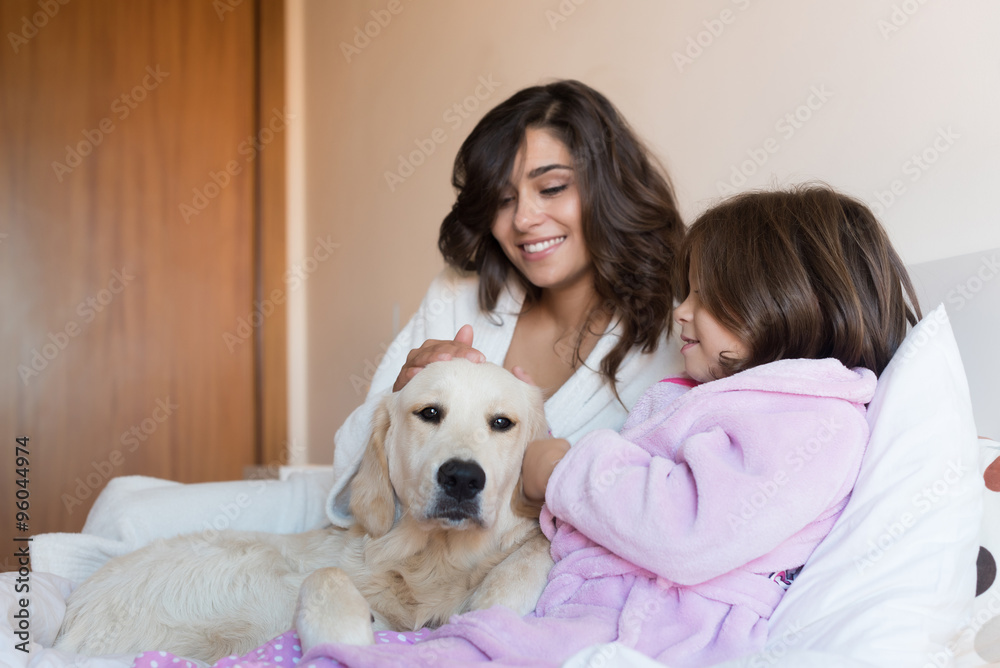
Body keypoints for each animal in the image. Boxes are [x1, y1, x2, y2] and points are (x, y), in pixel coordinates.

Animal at [52, 362, 556, 664]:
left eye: (502, 423)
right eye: (429, 412)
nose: (463, 479)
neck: (431, 558)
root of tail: (66, 631)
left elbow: (537, 543)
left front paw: (494, 601)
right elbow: (337, 590)